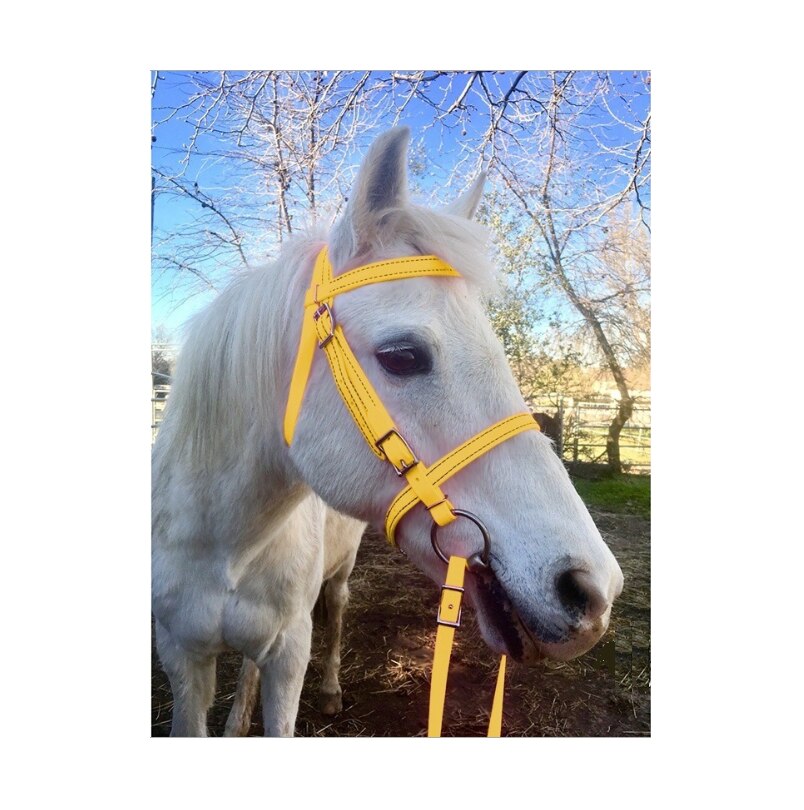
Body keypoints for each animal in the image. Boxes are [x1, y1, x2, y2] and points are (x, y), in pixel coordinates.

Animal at [151, 126, 624, 737]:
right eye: (402, 356)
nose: (594, 589)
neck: (225, 544)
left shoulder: (289, 653)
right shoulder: (181, 658)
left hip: (337, 580)